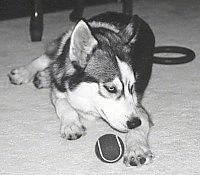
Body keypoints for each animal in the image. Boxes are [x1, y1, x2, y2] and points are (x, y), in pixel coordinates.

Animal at [8, 11, 155, 166]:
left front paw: (136, 149)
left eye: (132, 86)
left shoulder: (138, 108)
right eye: (111, 88)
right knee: (46, 57)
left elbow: (138, 127)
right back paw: (25, 72)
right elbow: (63, 103)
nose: (134, 122)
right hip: (61, 44)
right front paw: (71, 124)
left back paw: (44, 76)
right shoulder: (59, 90)